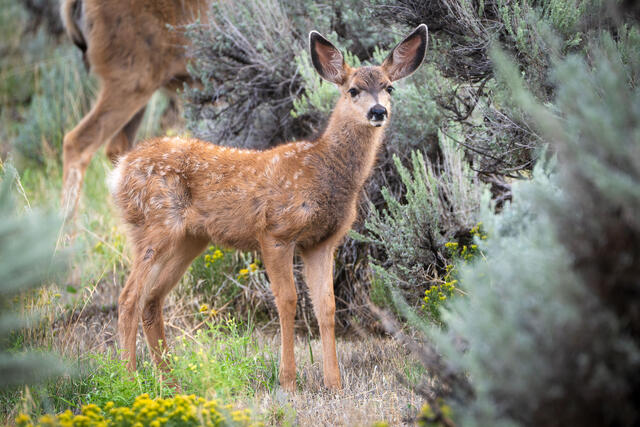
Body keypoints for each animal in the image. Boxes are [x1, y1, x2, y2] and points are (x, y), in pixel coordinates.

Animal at [108, 24, 428, 391]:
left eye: (389, 87)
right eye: (353, 90)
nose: (378, 112)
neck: (322, 168)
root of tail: (119, 171)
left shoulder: (323, 242)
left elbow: (327, 306)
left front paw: (334, 382)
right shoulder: (276, 230)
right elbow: (288, 300)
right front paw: (288, 379)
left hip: (189, 239)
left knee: (151, 299)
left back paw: (170, 381)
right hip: (155, 224)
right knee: (128, 298)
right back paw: (129, 380)